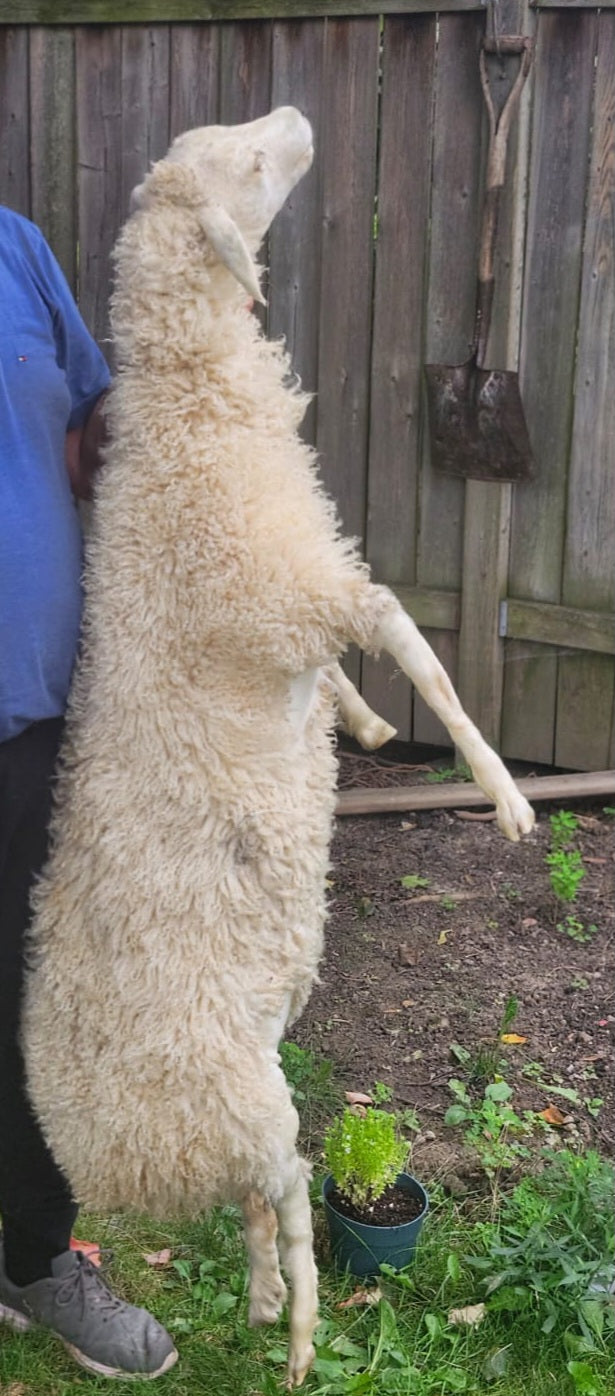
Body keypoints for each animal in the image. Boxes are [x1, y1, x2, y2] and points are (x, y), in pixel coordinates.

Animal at [23, 107, 534, 1388]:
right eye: (250, 165)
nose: (298, 119)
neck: (191, 406)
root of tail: (116, 1163)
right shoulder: (299, 590)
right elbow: (428, 659)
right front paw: (505, 796)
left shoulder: (306, 598)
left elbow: (375, 675)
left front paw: (362, 724)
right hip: (243, 1101)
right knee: (297, 1195)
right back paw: (299, 1329)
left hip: (246, 1093)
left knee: (260, 1200)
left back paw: (257, 1299)